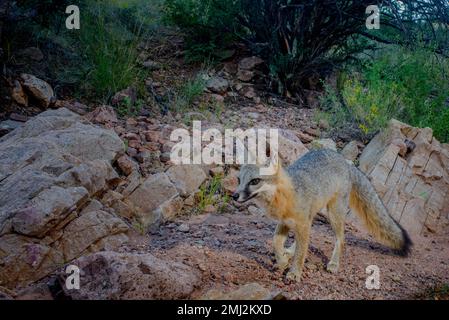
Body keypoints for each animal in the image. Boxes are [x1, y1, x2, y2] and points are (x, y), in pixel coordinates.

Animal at [233, 149, 412, 282]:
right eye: (239, 180)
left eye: (255, 181)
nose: (234, 196)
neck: (284, 196)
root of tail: (345, 161)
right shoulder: (285, 222)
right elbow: (276, 242)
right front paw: (282, 261)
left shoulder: (301, 224)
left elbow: (301, 253)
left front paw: (294, 272)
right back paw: (288, 252)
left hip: (333, 215)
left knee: (341, 239)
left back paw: (333, 263)